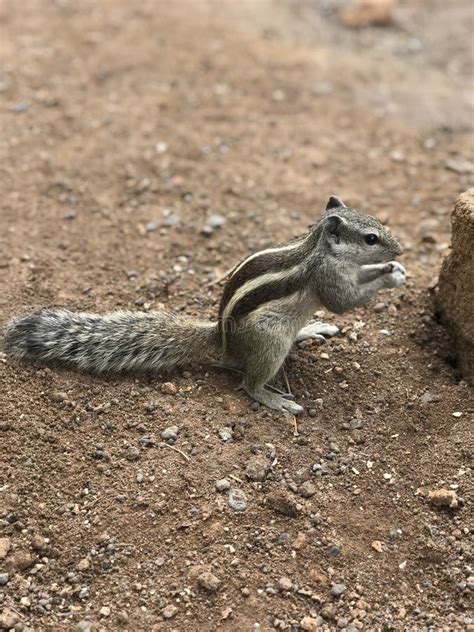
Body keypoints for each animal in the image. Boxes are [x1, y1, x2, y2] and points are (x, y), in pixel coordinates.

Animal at [2, 196, 404, 414]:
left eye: (380, 224)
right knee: (248, 383)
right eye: (370, 238)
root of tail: (222, 343)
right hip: (269, 345)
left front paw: (393, 269)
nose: (400, 250)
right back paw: (273, 399)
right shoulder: (327, 278)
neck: (318, 246)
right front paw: (388, 275)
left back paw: (309, 328)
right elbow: (344, 302)